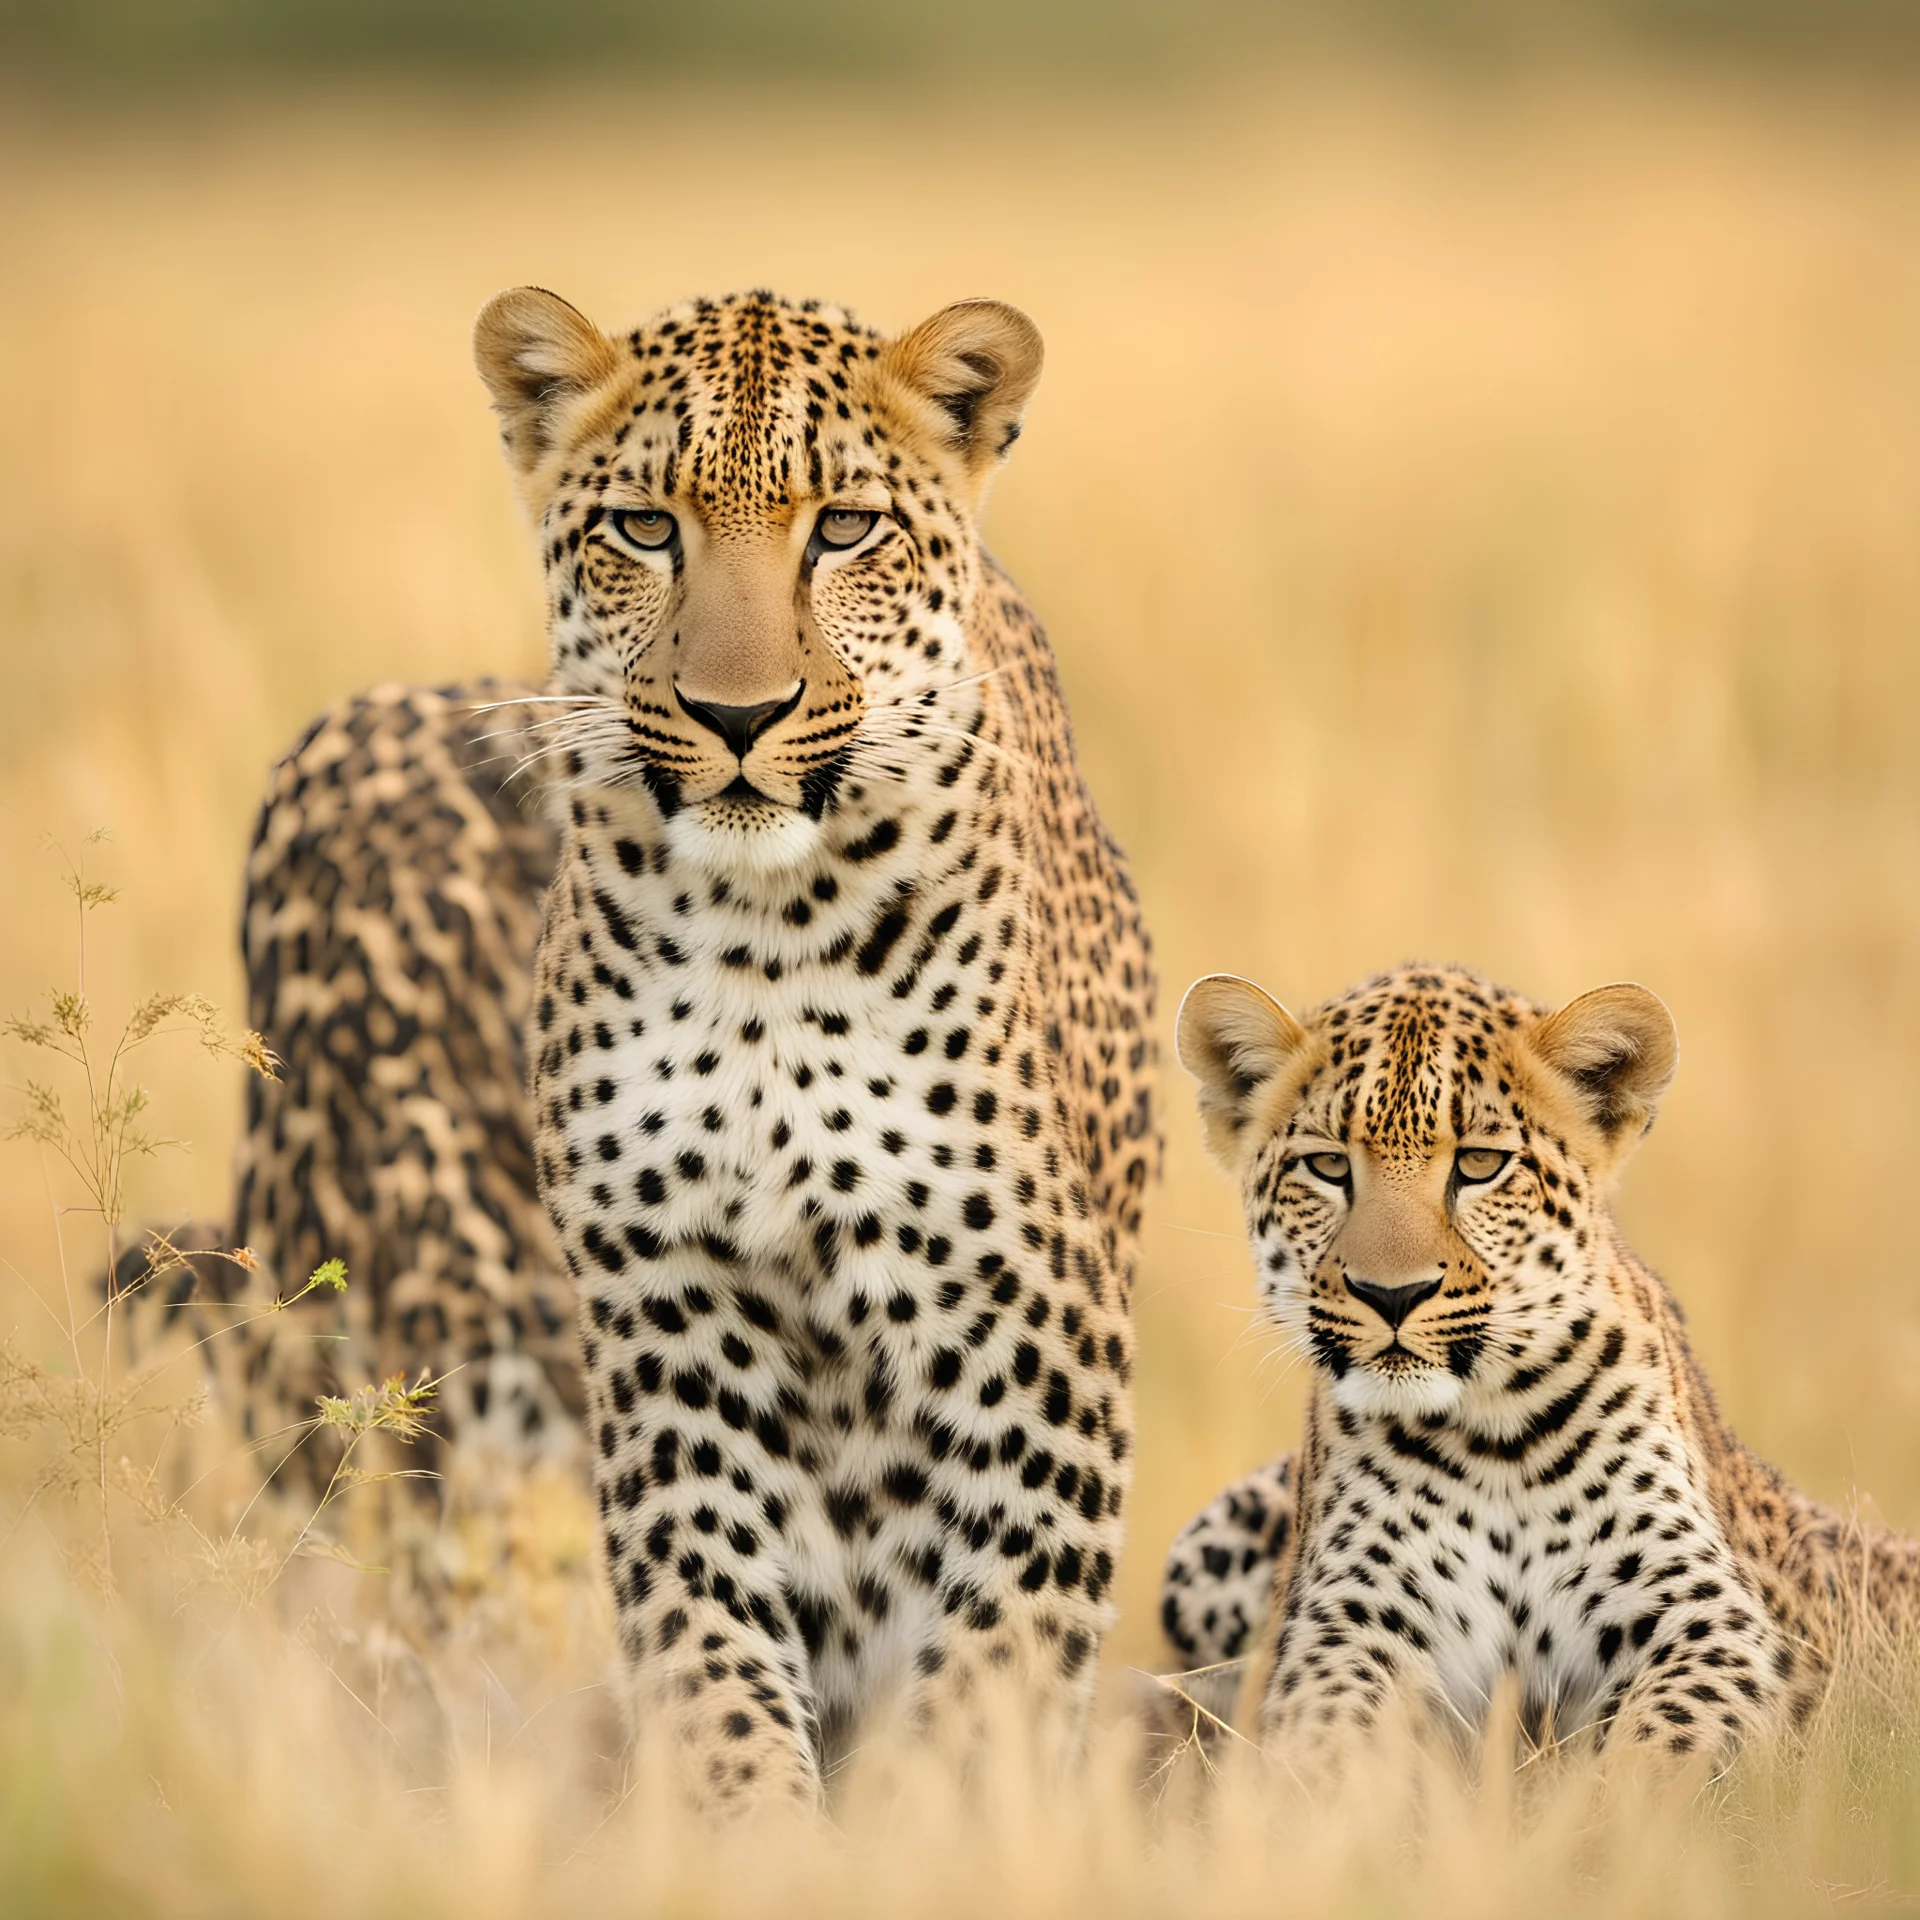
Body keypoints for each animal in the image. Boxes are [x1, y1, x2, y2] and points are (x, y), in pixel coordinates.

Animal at [476, 278, 1152, 1804]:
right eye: (644, 528)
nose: (738, 716)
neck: (766, 948)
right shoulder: (668, 1331)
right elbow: (712, 1658)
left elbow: (992, 1678)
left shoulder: (1037, 1358)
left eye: (841, 528)